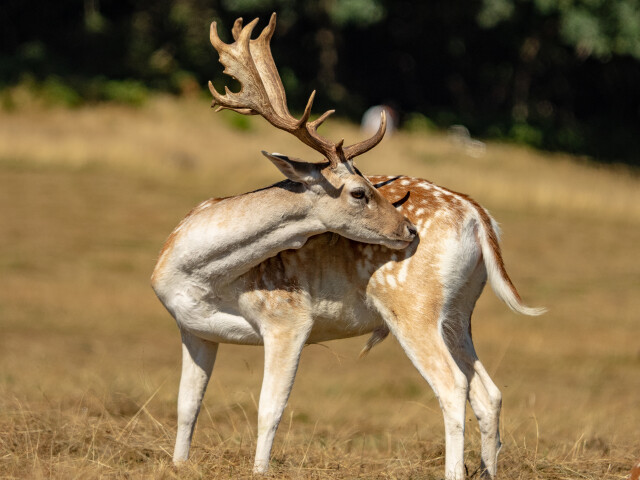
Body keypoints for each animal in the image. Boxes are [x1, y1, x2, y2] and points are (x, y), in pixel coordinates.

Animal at [151, 14, 545, 480]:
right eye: (359, 192)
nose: (408, 230)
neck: (197, 274)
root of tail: (477, 214)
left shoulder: (288, 318)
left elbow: (270, 408)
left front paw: (260, 471)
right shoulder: (193, 328)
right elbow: (186, 406)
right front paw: (178, 463)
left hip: (412, 305)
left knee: (453, 386)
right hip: (459, 311)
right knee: (488, 392)